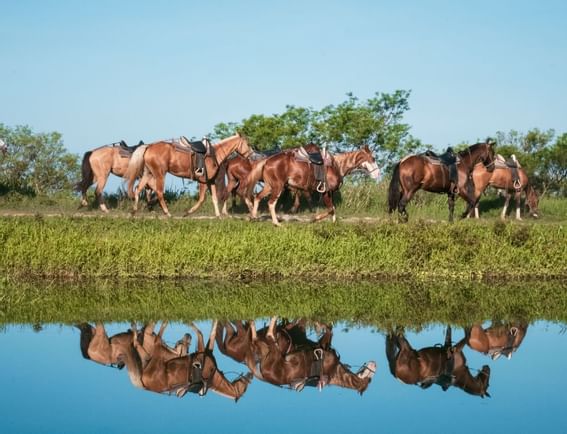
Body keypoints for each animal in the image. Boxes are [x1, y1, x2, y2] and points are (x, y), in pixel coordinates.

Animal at [126, 132, 255, 217]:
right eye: (247, 143)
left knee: (138, 189)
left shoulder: (210, 181)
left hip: (148, 173)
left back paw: (133, 211)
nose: (252, 154)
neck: (214, 153)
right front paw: (188, 212)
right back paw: (167, 213)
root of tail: (149, 146)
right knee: (159, 192)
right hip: (160, 174)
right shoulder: (203, 181)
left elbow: (214, 198)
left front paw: (218, 215)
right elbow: (202, 199)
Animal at [246, 146, 380, 227]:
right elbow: (331, 209)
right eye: (373, 158)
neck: (337, 165)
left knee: (257, 197)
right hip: (278, 186)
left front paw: (333, 223)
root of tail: (267, 160)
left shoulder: (329, 193)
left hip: (269, 186)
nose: (378, 173)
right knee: (271, 203)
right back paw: (276, 223)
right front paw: (314, 219)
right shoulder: (326, 192)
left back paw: (253, 217)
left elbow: (333, 209)